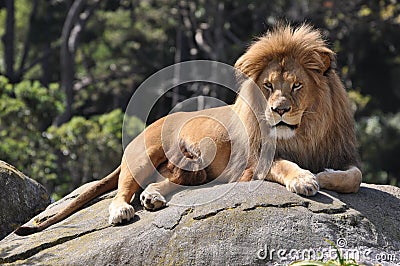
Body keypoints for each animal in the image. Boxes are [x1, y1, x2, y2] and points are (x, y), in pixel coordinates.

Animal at [14, 23, 362, 236]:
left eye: (297, 86)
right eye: (267, 86)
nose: (279, 110)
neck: (304, 132)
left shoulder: (341, 152)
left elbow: (355, 177)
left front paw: (325, 175)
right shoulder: (254, 163)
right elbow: (286, 164)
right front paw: (305, 179)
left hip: (195, 168)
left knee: (163, 181)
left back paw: (153, 197)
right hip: (145, 153)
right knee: (123, 189)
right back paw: (122, 211)